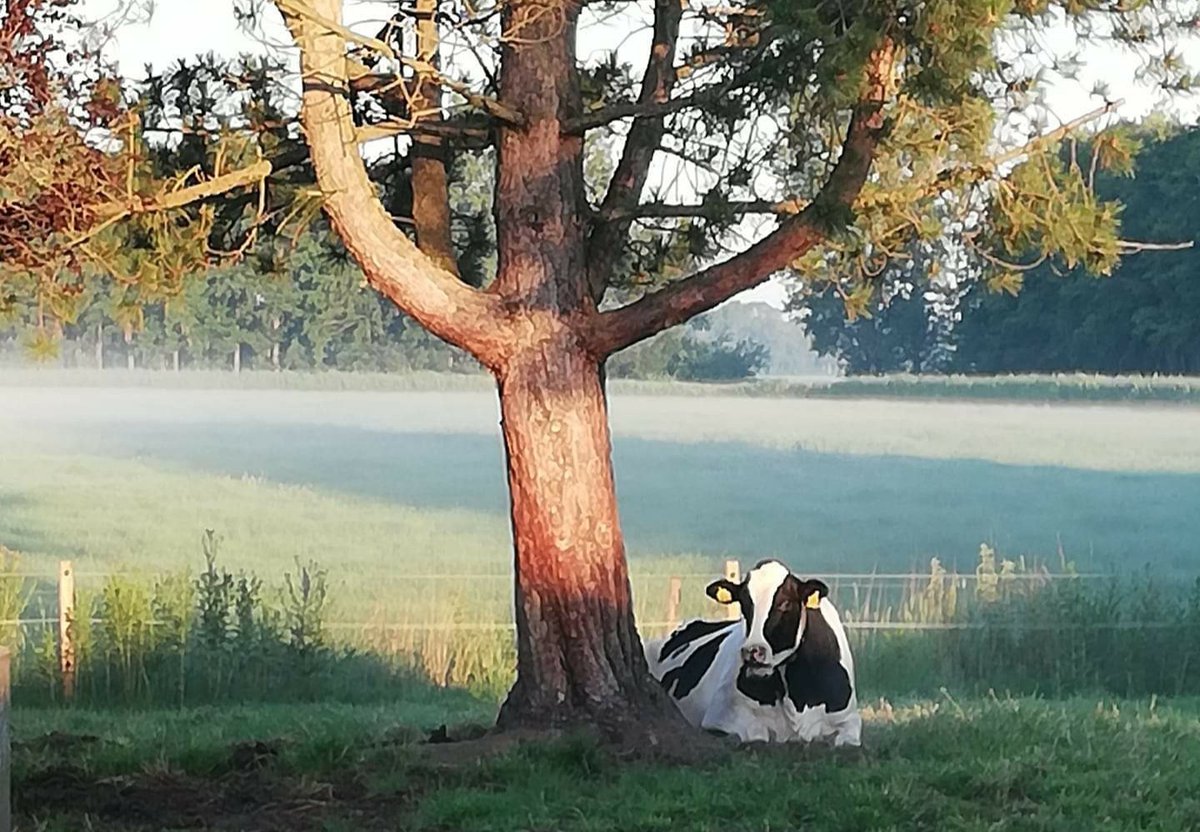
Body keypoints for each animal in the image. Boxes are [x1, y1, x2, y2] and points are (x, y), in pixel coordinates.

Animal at [644, 559, 861, 746]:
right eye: (744, 603)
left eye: (785, 603)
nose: (753, 651)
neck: (796, 698)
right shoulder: (720, 715)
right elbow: (757, 735)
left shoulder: (849, 719)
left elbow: (846, 739)